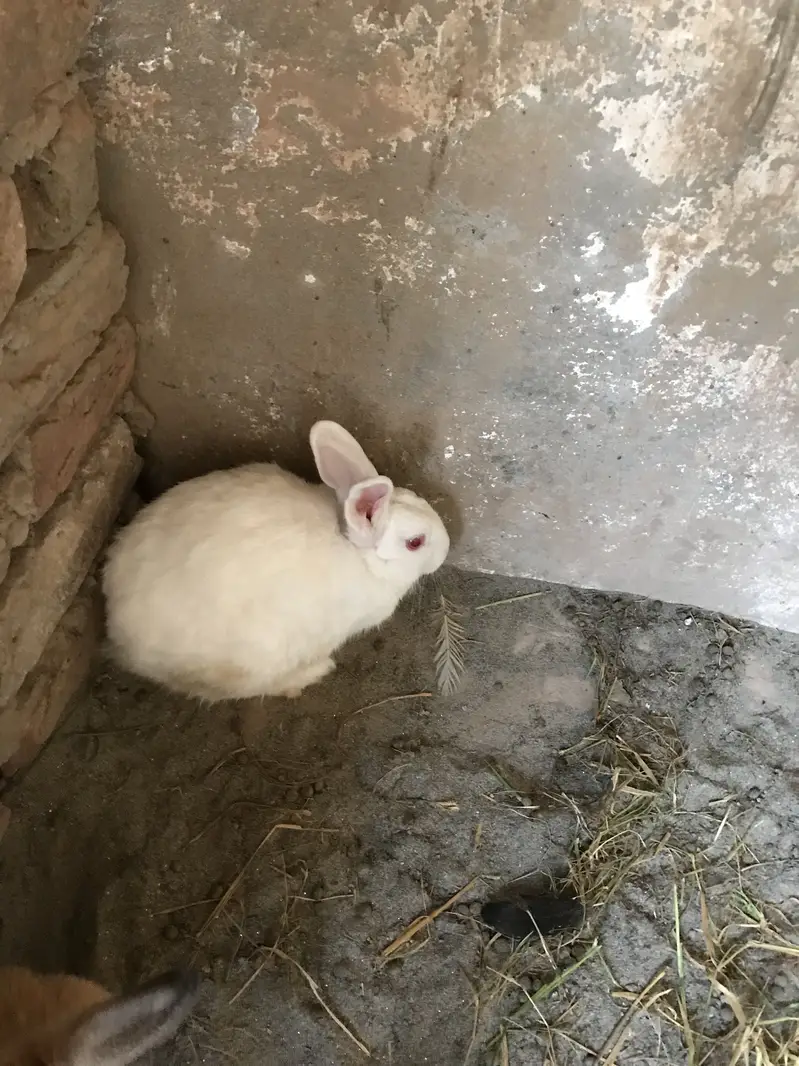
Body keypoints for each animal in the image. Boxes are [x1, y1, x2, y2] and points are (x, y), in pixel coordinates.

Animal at [102, 420, 450, 702]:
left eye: (418, 498)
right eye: (415, 543)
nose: (447, 548)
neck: (358, 553)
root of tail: (120, 636)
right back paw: (312, 673)